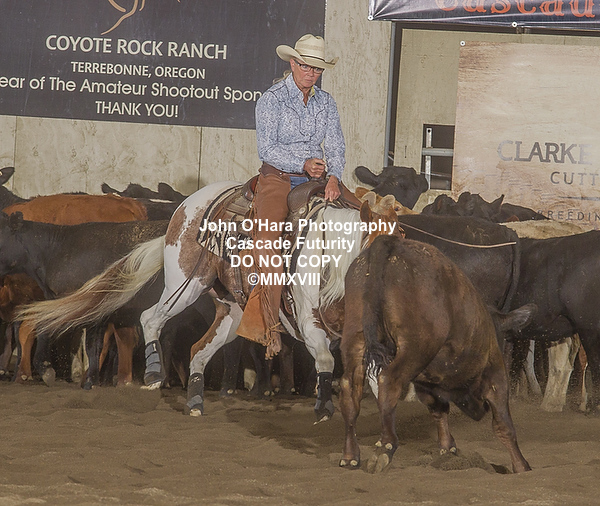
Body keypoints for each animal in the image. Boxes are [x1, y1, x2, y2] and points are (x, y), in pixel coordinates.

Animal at [19, 181, 400, 420]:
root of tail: (187, 206)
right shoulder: (308, 322)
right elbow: (324, 359)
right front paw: (323, 407)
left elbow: (376, 376)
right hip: (185, 284)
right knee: (150, 319)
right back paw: (154, 372)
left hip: (233, 312)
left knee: (198, 350)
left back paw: (195, 399)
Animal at [339, 234, 534, 473]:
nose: (480, 409)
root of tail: (391, 243)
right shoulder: (494, 371)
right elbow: (503, 424)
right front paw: (521, 465)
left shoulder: (427, 384)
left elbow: (439, 409)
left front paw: (447, 447)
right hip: (416, 346)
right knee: (389, 380)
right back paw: (385, 446)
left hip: (355, 338)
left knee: (349, 388)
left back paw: (350, 455)